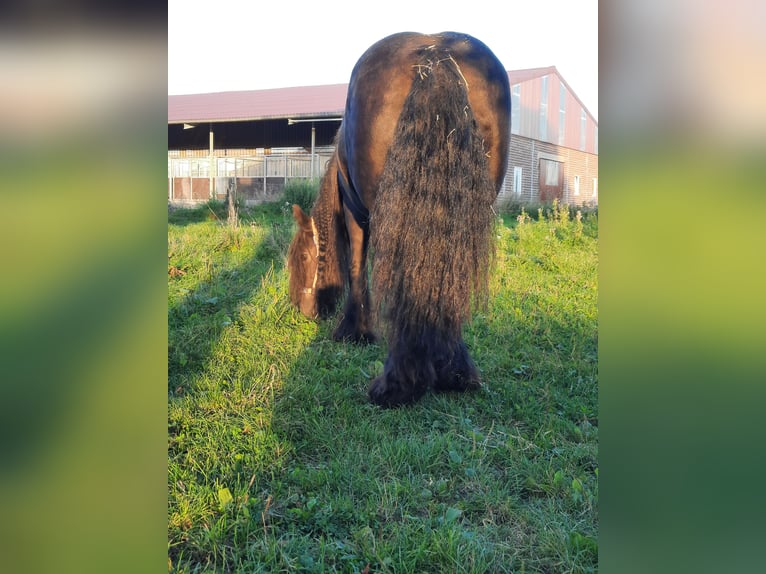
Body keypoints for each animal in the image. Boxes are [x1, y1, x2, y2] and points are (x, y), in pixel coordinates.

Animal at [286, 32, 510, 410]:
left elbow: (357, 267)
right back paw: (454, 373)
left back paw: (398, 384)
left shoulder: (357, 213)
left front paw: (355, 332)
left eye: (303, 256)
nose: (301, 309)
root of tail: (435, 56)